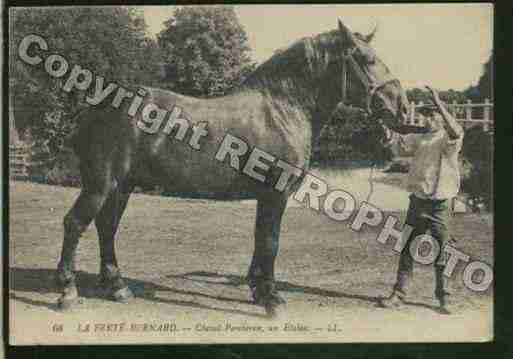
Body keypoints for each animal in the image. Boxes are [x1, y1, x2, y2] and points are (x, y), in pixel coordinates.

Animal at [55, 21, 408, 316]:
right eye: (367, 59)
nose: (403, 107)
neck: (281, 109)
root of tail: (97, 107)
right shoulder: (275, 194)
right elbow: (270, 242)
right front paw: (270, 299)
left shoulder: (266, 197)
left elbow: (260, 240)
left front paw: (259, 291)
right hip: (100, 185)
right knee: (75, 224)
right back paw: (68, 292)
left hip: (122, 187)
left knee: (106, 228)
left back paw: (117, 287)